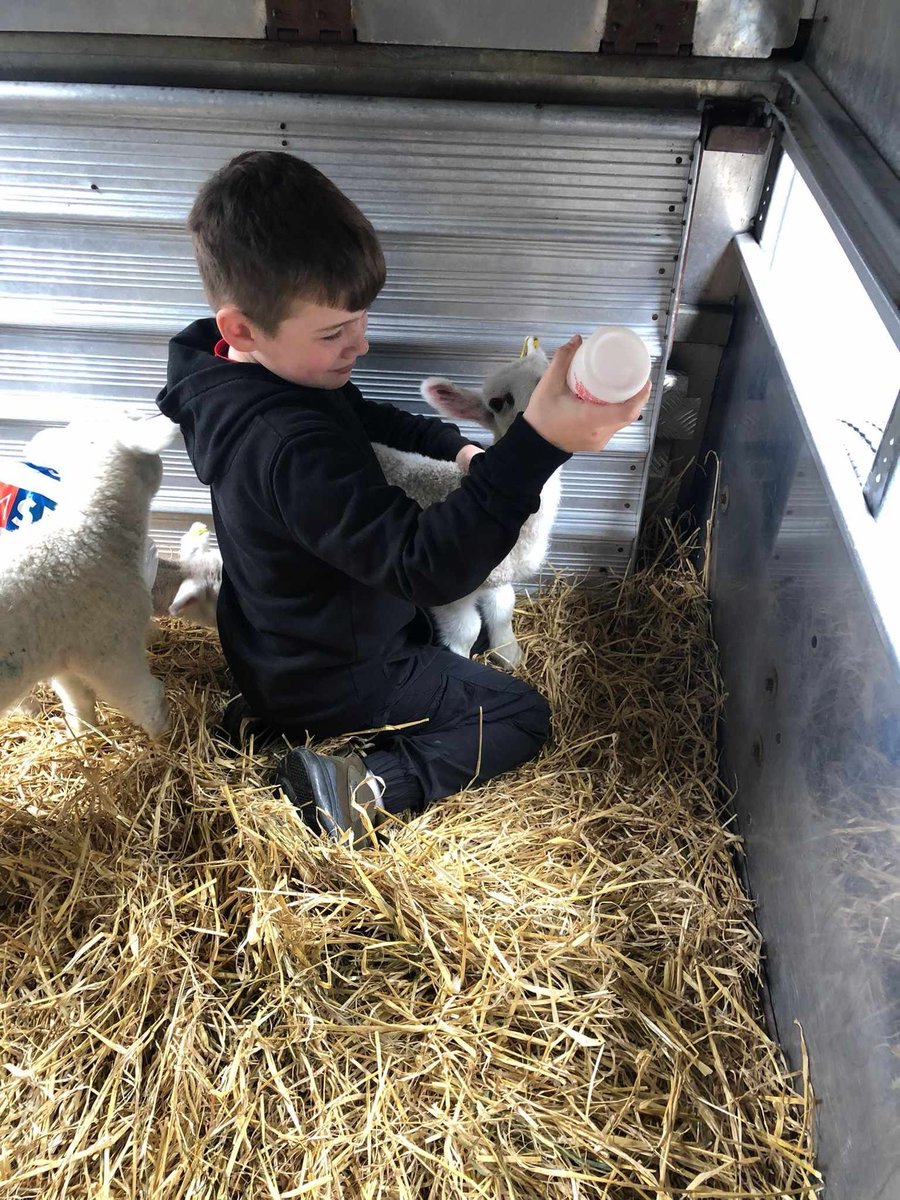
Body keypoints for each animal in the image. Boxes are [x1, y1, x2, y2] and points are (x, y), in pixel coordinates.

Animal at [0, 417, 177, 734]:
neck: (89, 534)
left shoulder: (64, 653)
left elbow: (77, 698)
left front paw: (83, 733)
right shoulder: (112, 650)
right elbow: (145, 698)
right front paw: (166, 737)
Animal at [372, 343, 556, 667]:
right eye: (497, 402)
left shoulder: (498, 576)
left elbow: (503, 610)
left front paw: (510, 655)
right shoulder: (448, 593)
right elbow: (467, 630)